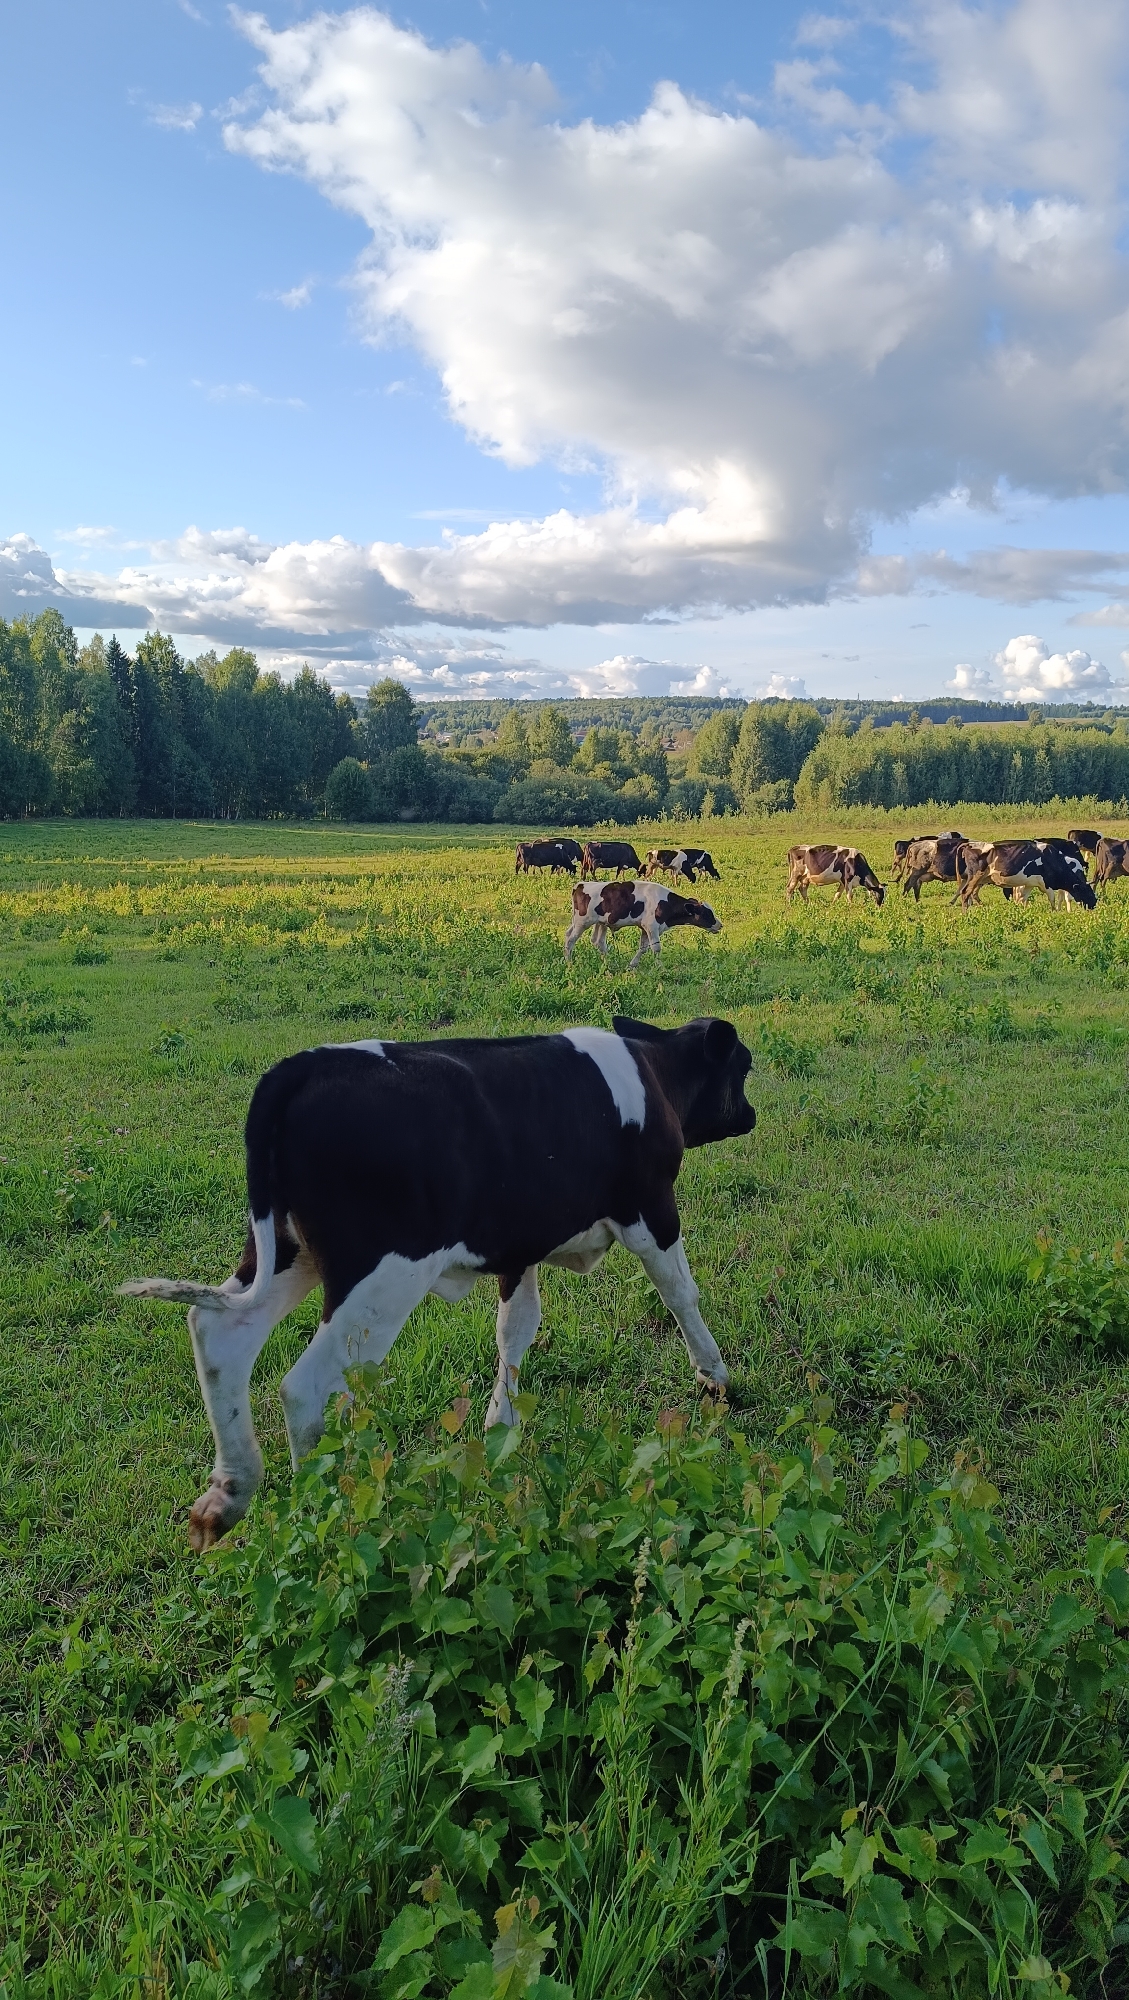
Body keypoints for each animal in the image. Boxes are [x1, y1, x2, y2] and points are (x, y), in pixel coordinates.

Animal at [121, 1017, 755, 1549]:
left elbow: (516, 1327)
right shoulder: (651, 1212)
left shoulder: (518, 1246)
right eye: (743, 1067)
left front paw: (501, 1423)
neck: (654, 1072)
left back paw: (228, 1495)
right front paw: (714, 1375)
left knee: (219, 1332)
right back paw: (326, 1509)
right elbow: (681, 1293)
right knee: (306, 1385)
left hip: (285, 1252)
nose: (750, 1114)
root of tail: (303, 1066)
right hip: (381, 1277)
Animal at [565, 880, 723, 968]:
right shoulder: (652, 927)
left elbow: (643, 948)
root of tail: (580, 885)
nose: (720, 925)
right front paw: (660, 968)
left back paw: (607, 963)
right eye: (707, 913)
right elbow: (656, 948)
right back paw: (569, 963)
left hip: (599, 922)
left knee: (596, 941)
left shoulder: (645, 928)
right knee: (571, 940)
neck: (663, 902)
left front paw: (632, 965)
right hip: (582, 922)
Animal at [958, 841, 1097, 910]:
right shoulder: (1047, 885)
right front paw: (1056, 912)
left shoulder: (1030, 884)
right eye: (1089, 893)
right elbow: (1052, 900)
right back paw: (965, 914)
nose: (1094, 903)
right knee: (965, 893)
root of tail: (969, 844)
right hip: (975, 876)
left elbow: (1022, 899)